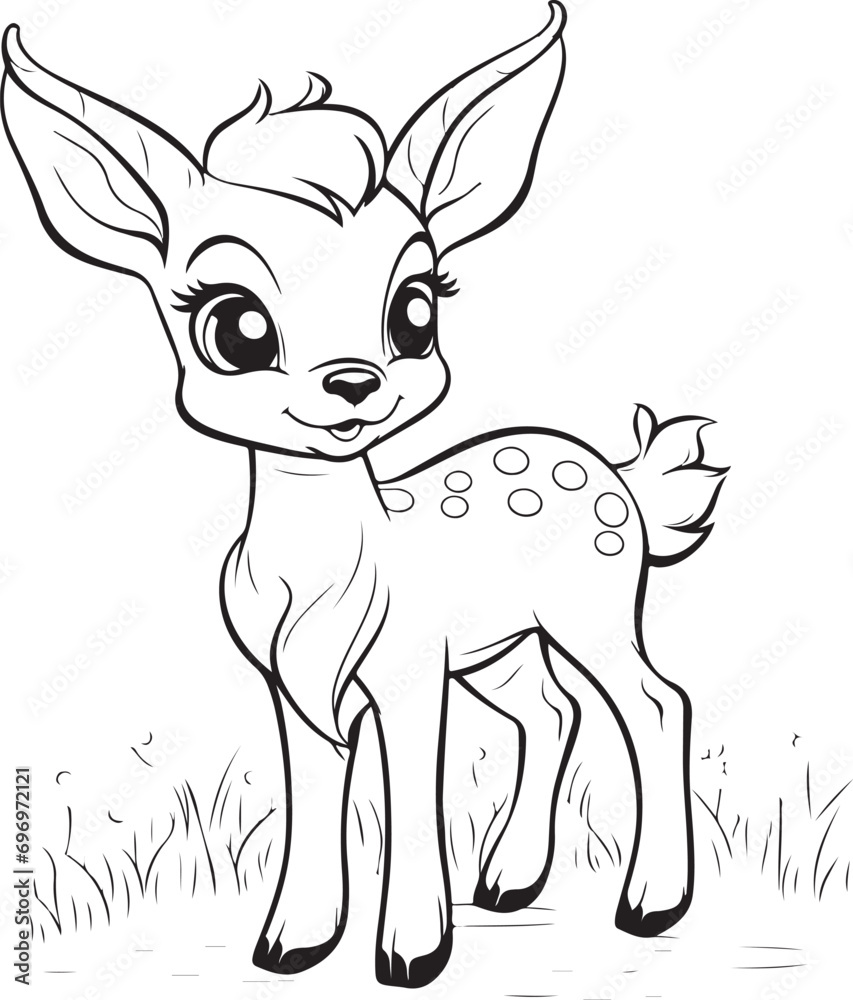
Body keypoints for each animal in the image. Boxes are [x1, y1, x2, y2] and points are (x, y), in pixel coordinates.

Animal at [2, 2, 727, 988]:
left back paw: (648, 905)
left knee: (654, 701)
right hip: (501, 645)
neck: (323, 569)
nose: (353, 383)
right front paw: (292, 944)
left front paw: (411, 956)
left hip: (592, 608)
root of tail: (620, 476)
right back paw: (509, 882)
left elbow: (412, 796)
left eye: (416, 310)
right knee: (551, 710)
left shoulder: (408, 677)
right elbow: (313, 800)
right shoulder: (295, 687)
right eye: (234, 326)